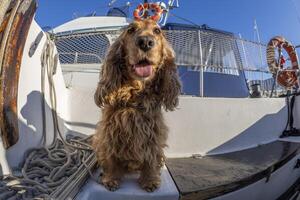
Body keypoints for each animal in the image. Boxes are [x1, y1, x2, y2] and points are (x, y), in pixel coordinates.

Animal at [92, 18, 180, 192]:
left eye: (157, 31)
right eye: (131, 30)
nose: (145, 42)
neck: (135, 95)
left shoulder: (153, 134)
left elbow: (151, 158)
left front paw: (150, 181)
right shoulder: (109, 133)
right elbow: (111, 158)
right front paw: (110, 179)